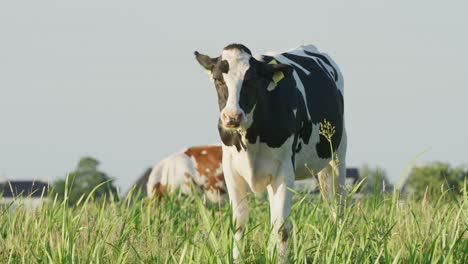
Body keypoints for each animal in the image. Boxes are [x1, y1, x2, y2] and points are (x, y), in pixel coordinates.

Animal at [194, 44, 348, 258]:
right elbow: (239, 224)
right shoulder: (230, 169)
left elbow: (281, 228)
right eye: (218, 79)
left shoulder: (284, 170)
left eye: (251, 80)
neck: (250, 138)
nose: (232, 117)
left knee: (337, 207)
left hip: (337, 156)